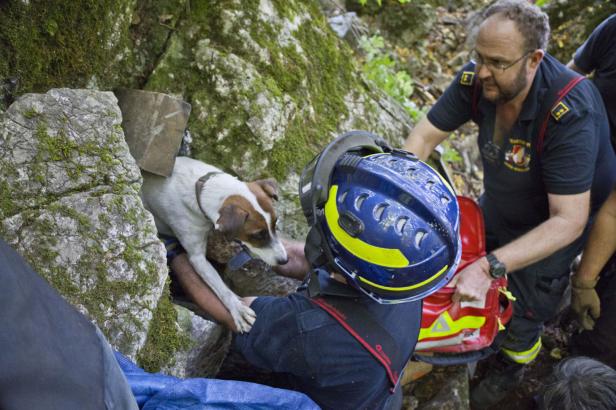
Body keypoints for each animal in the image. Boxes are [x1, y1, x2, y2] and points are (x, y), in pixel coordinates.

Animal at [142, 157, 288, 334]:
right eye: (257, 235)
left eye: (275, 223)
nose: (284, 260)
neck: (201, 189)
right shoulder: (197, 259)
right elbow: (222, 289)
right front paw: (238, 308)